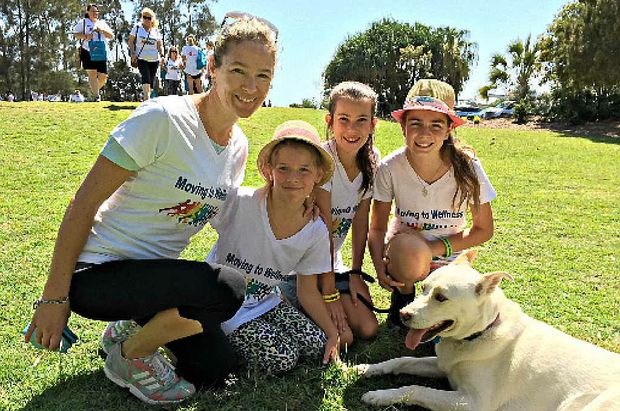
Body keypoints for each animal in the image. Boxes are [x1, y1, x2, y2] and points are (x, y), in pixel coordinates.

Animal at [354, 251, 620, 411]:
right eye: (423, 288)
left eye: (441, 297)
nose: (403, 315)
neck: (478, 334)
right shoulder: (443, 365)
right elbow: (403, 360)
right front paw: (369, 369)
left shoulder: (472, 402)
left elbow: (415, 388)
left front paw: (378, 395)